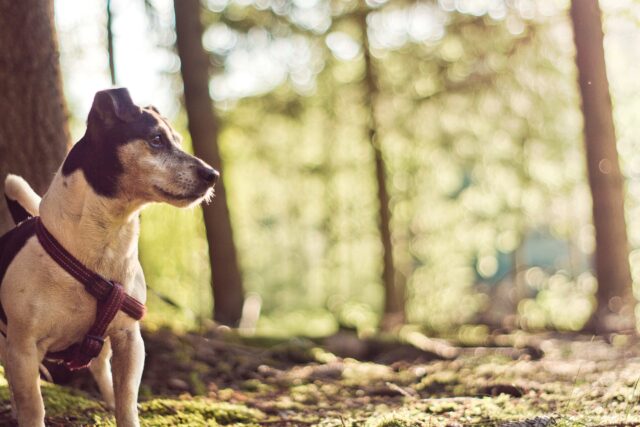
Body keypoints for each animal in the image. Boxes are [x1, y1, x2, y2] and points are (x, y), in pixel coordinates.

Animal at [0, 88, 219, 426]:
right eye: (156, 139)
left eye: (179, 140)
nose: (213, 175)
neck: (103, 246)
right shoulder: (23, 348)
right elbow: (32, 405)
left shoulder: (129, 340)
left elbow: (126, 400)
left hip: (101, 348)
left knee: (103, 374)